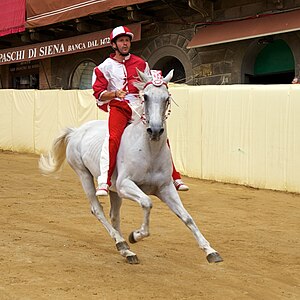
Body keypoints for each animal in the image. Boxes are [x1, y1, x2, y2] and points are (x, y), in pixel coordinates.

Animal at [39, 68, 223, 264]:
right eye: (146, 96)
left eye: (167, 98)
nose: (155, 130)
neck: (149, 152)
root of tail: (76, 131)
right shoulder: (125, 185)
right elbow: (147, 202)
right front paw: (135, 235)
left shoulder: (165, 188)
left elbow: (187, 217)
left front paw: (210, 251)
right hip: (85, 176)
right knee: (97, 209)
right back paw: (122, 243)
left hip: (113, 190)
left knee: (114, 215)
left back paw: (126, 251)